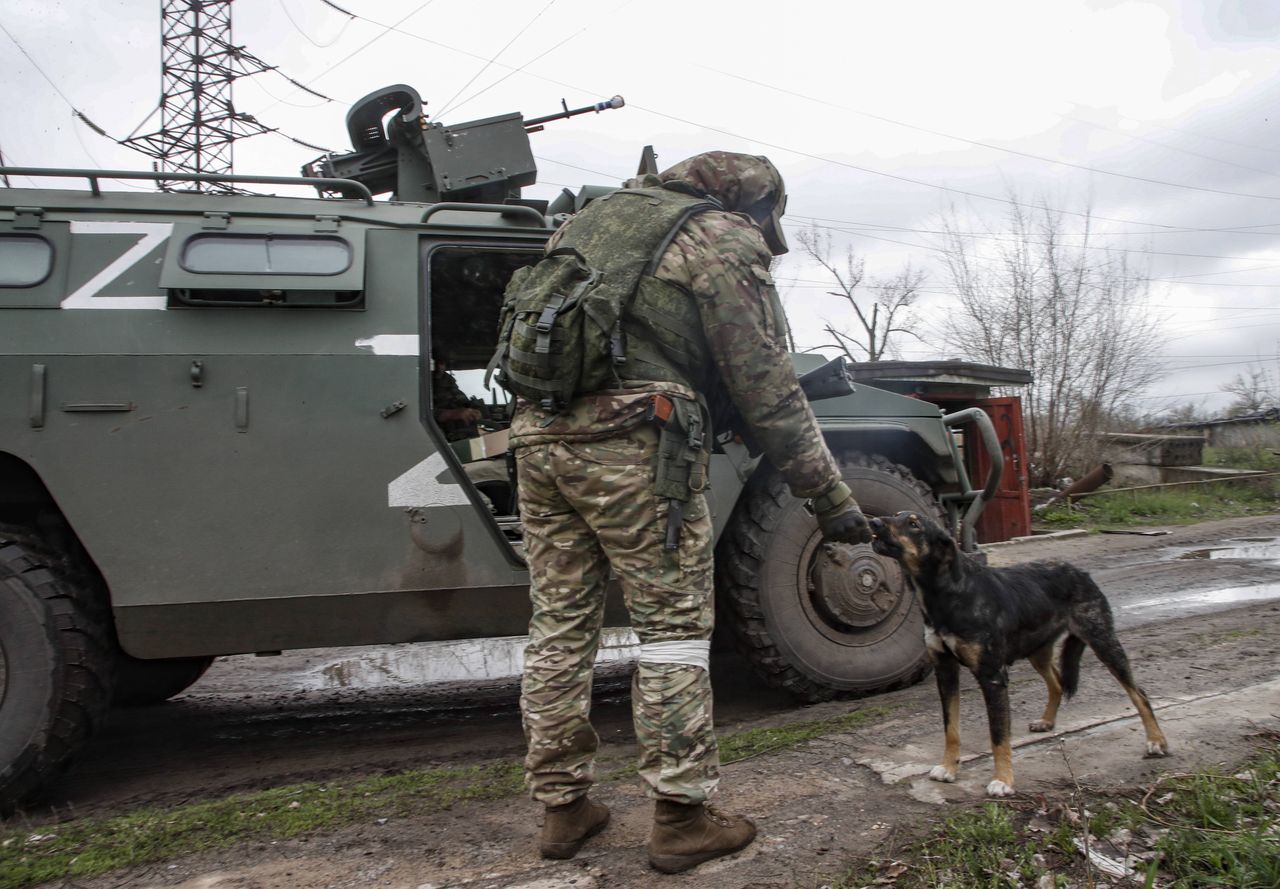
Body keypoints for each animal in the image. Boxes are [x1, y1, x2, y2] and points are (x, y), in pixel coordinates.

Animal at [870, 511, 1172, 798]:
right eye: (896, 515)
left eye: (913, 524)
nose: (872, 522)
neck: (945, 593)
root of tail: (1079, 571)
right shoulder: (945, 671)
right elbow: (951, 729)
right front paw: (949, 768)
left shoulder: (992, 676)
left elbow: (998, 735)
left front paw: (1003, 780)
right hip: (1038, 652)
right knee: (1057, 683)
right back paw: (1047, 721)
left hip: (1103, 642)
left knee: (1139, 693)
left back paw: (1157, 741)